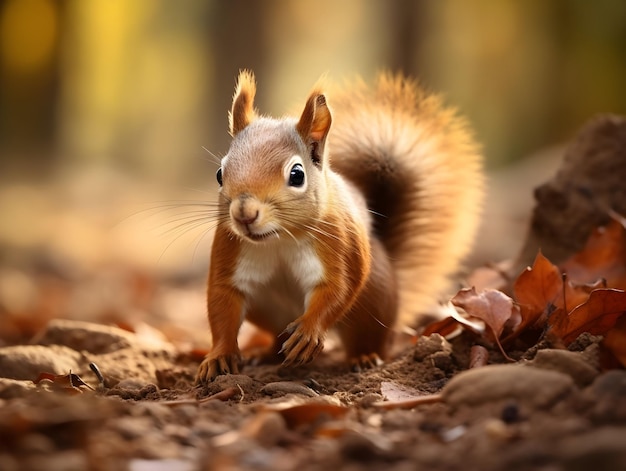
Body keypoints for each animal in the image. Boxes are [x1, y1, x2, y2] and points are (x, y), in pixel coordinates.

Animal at [195, 71, 482, 388]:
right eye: (220, 174)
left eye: (297, 174)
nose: (244, 214)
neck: (280, 239)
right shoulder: (229, 248)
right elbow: (223, 303)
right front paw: (218, 356)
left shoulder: (339, 244)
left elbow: (337, 289)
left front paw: (309, 332)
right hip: (267, 310)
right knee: (276, 336)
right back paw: (266, 354)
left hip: (371, 306)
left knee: (368, 338)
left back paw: (364, 356)